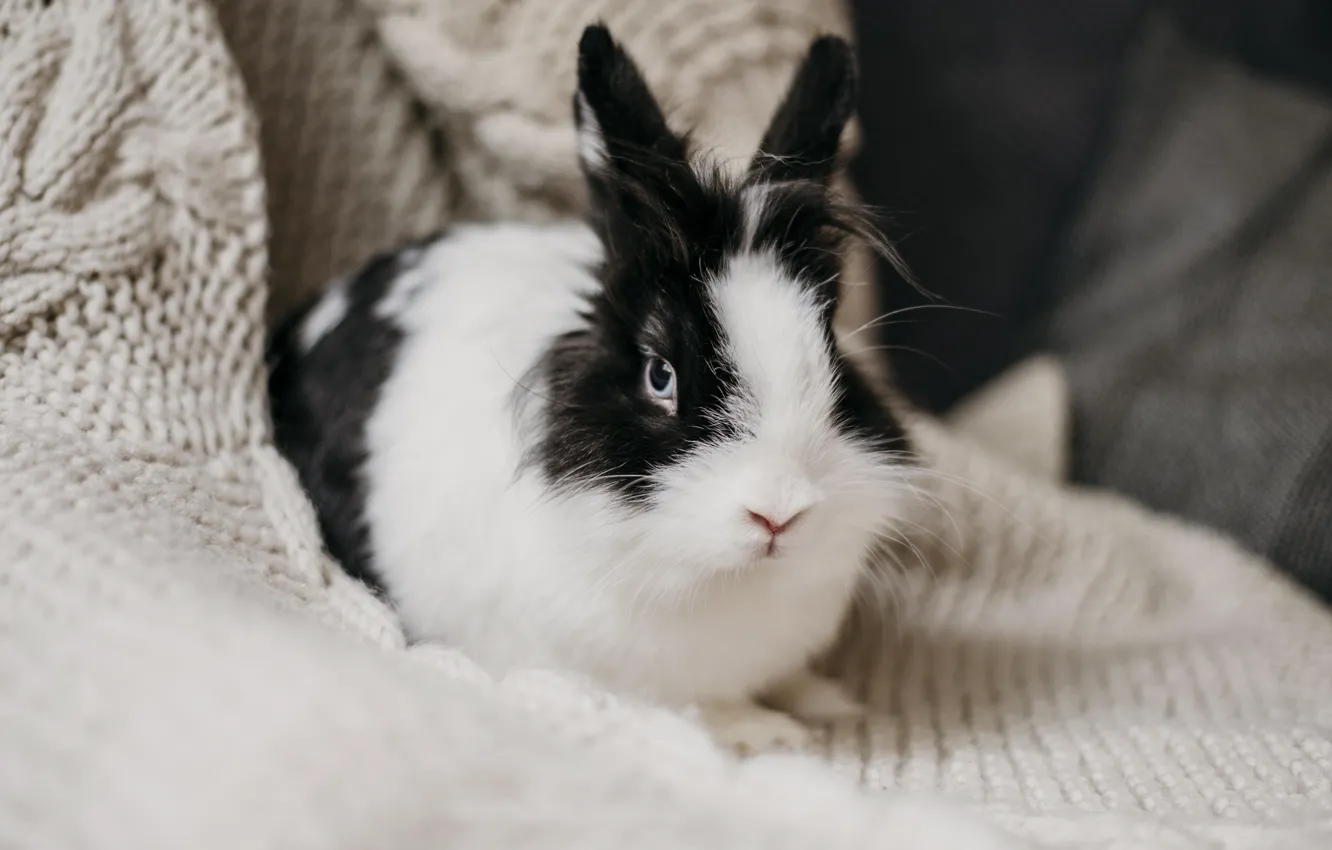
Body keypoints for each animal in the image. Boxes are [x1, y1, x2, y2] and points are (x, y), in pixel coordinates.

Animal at [267, 25, 919, 756]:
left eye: (832, 357)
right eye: (659, 375)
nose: (779, 514)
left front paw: (826, 699)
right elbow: (702, 706)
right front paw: (768, 732)